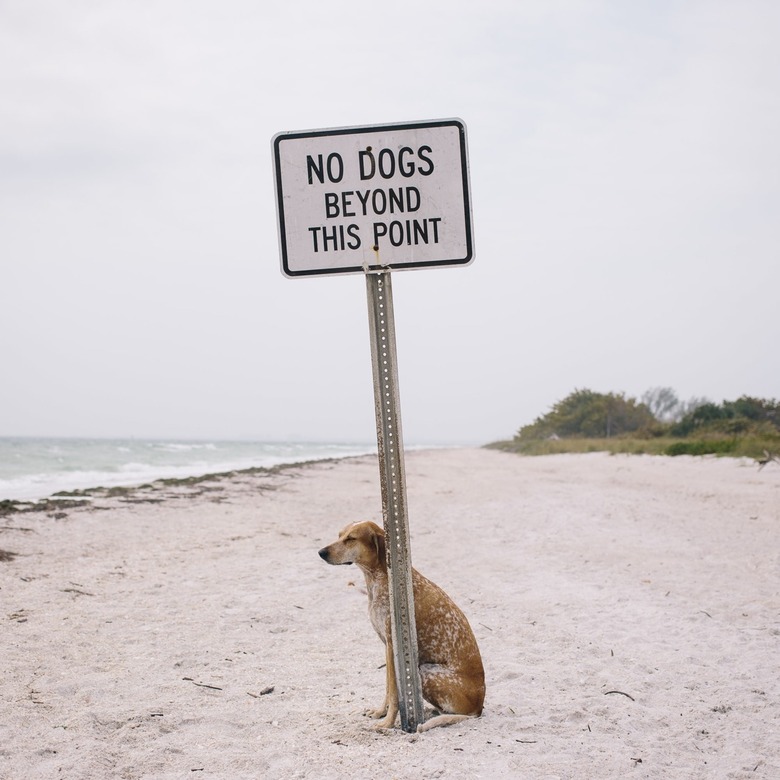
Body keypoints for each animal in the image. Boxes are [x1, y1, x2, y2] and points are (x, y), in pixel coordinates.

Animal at [316, 516, 482, 732]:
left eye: (351, 539)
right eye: (339, 535)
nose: (321, 552)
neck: (379, 577)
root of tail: (479, 706)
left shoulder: (393, 646)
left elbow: (394, 692)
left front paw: (387, 723)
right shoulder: (387, 646)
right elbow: (388, 688)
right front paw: (380, 713)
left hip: (425, 672)